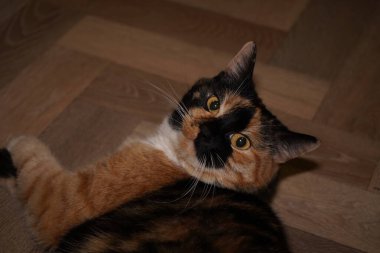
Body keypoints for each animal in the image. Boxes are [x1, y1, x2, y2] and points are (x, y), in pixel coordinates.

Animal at [0, 42, 320, 252]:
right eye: (213, 104)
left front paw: (16, 145)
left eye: (241, 141)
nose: (206, 132)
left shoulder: (62, 200)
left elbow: (34, 166)